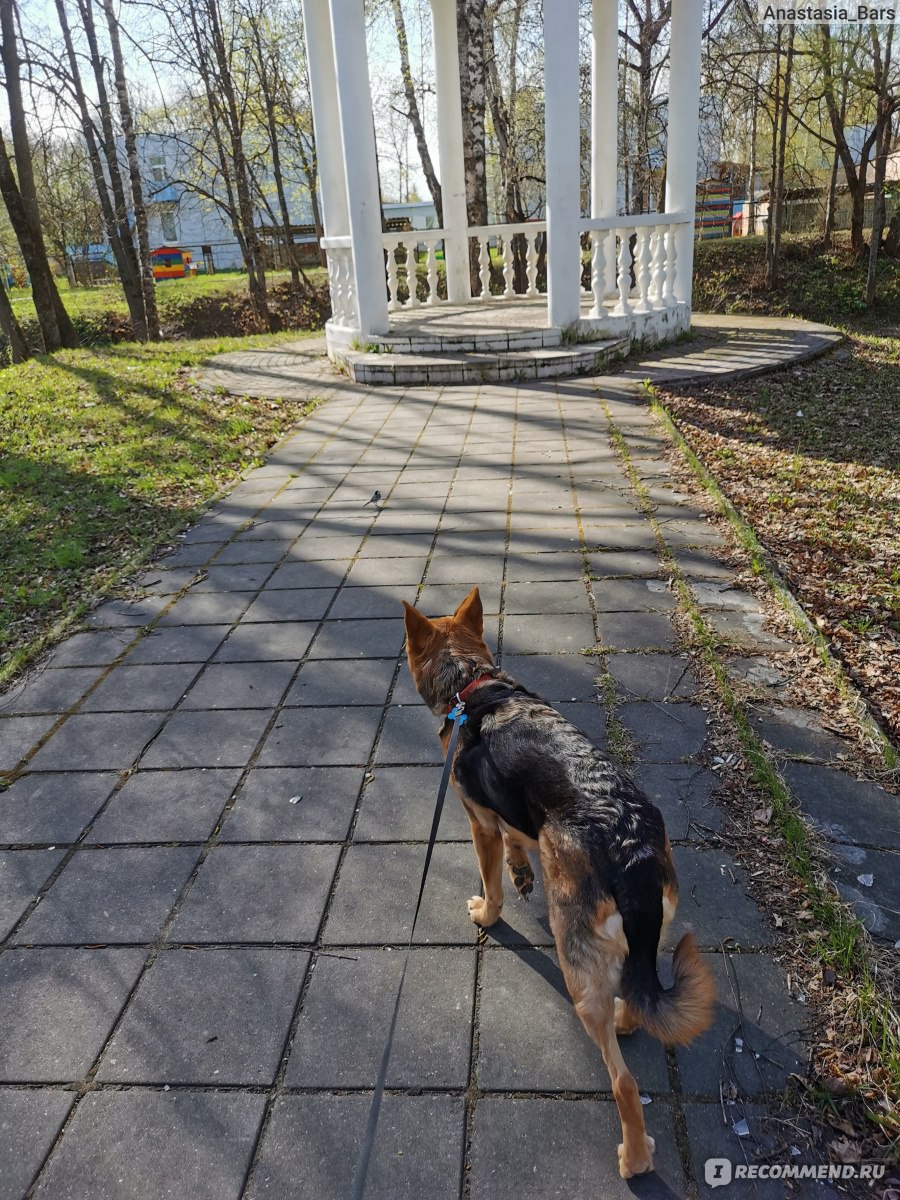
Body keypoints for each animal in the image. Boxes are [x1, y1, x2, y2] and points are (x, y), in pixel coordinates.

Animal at [405, 585, 715, 1176]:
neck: (473, 685)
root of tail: (631, 852)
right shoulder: (518, 820)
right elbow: (518, 847)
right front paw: (523, 871)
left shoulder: (479, 823)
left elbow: (492, 881)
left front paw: (488, 913)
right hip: (640, 942)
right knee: (634, 1007)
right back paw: (624, 1017)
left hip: (577, 972)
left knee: (623, 1080)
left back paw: (634, 1157)